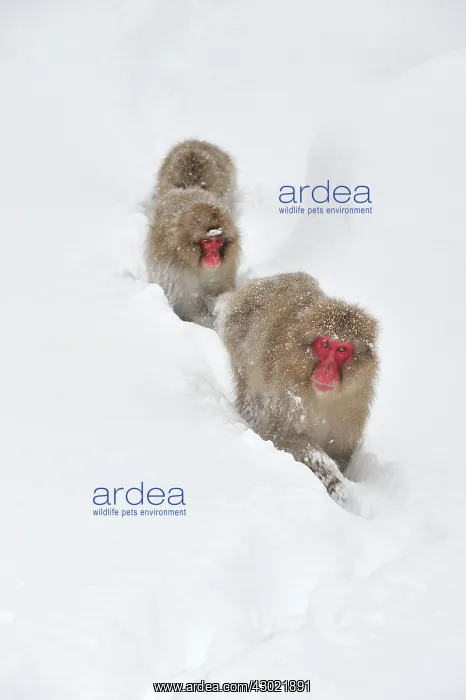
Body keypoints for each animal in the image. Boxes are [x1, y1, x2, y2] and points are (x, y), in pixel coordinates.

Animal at [217, 272, 379, 501]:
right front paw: (330, 476)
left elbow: (340, 454)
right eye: (325, 344)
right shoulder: (285, 396)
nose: (327, 370)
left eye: (341, 349)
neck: (321, 398)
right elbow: (279, 437)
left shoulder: (353, 405)